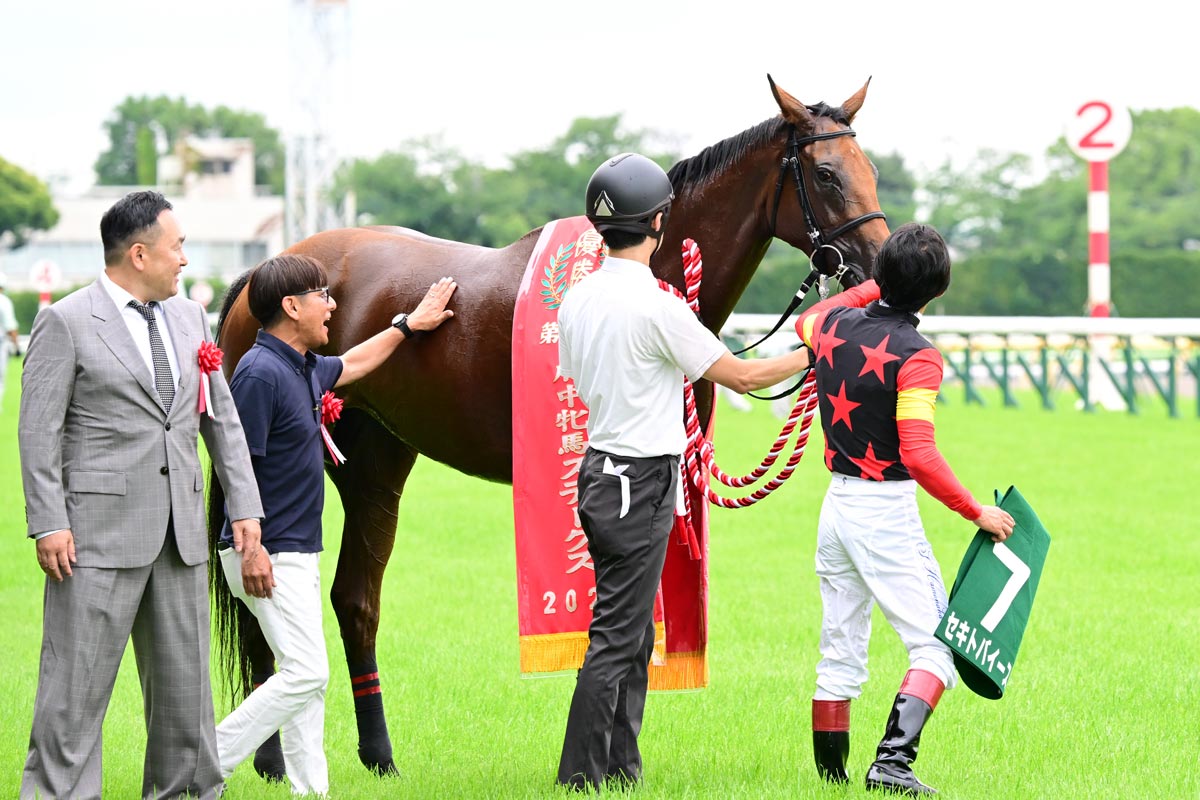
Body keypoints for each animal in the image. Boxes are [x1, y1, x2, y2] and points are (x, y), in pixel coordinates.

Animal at [207, 75, 891, 778]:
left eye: (870, 171)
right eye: (827, 174)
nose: (878, 265)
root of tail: (263, 273)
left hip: (377, 467)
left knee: (355, 600)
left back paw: (378, 756)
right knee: (262, 593)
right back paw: (269, 760)